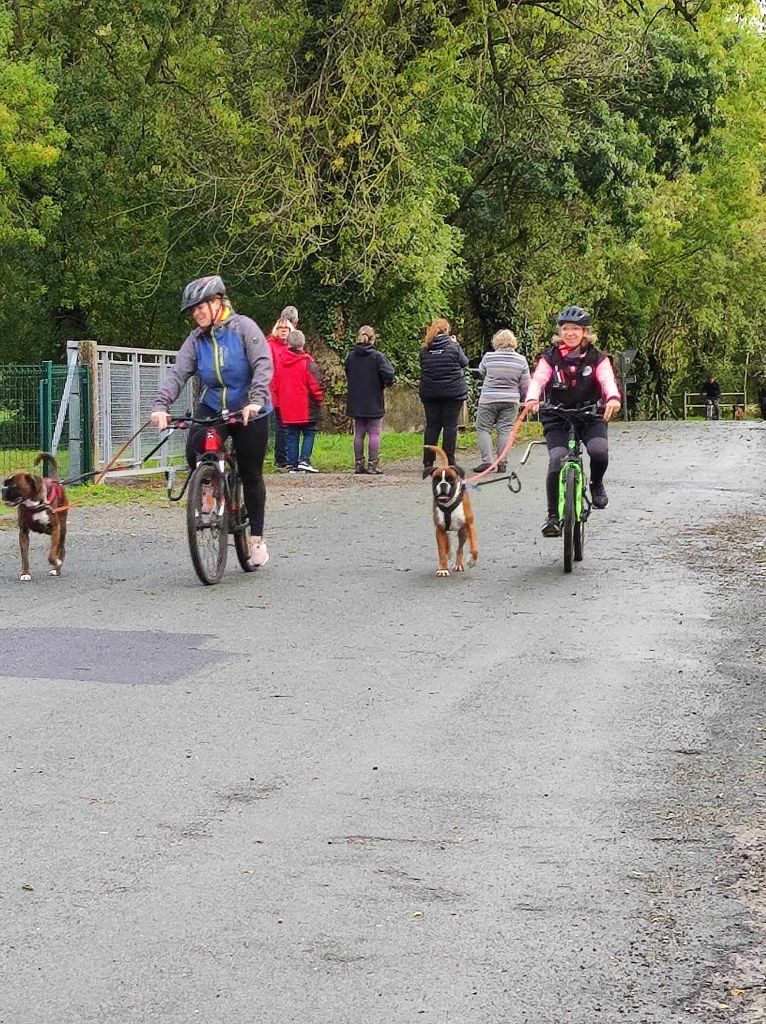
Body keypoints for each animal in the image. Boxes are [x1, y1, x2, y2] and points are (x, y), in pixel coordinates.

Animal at [1, 452, 68, 581]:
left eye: (13, 485)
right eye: (5, 484)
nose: (2, 490)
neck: (34, 505)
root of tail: (54, 478)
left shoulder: (55, 528)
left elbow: (52, 552)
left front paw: (55, 562)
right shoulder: (23, 533)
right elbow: (24, 556)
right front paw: (25, 573)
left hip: (62, 528)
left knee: (61, 548)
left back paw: (57, 569)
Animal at [423, 446, 479, 581]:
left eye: (451, 480)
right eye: (436, 479)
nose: (443, 484)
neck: (448, 505)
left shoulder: (470, 526)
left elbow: (474, 548)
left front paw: (472, 560)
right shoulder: (440, 529)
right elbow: (441, 552)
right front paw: (442, 569)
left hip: (463, 532)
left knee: (460, 549)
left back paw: (458, 564)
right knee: (447, 543)